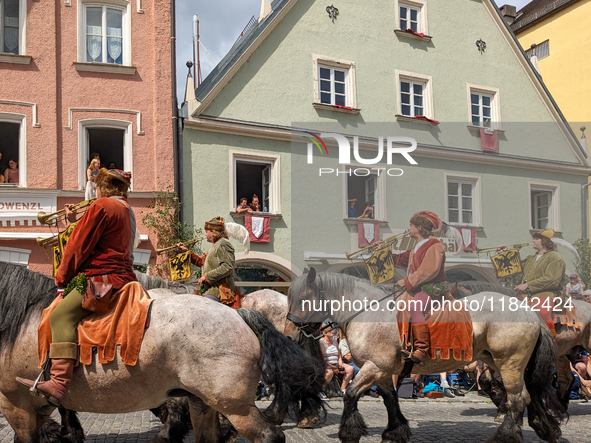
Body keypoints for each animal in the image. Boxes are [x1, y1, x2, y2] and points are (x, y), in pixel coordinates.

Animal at [286, 268, 564, 443]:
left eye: (303, 298)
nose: (291, 332)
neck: (369, 311)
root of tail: (528, 310)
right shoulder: (383, 371)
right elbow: (390, 400)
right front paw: (395, 432)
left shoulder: (374, 367)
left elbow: (350, 394)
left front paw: (349, 432)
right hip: (498, 362)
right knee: (527, 396)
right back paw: (544, 428)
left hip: (510, 364)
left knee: (518, 399)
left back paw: (506, 436)